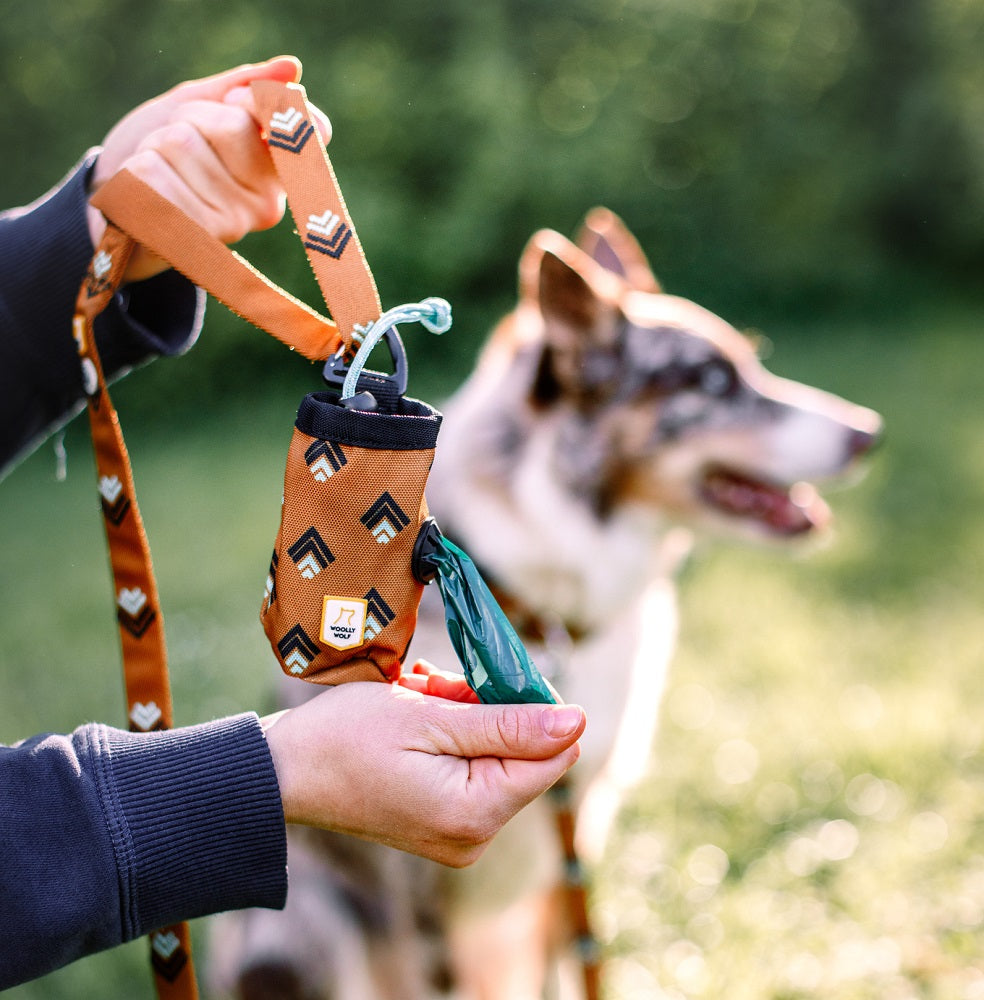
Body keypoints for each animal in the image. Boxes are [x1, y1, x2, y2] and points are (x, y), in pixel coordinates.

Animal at [209, 207, 884, 996]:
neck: (547, 606)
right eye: (712, 382)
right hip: (298, 934)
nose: (868, 433)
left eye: (748, 367)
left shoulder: (576, 833)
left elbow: (566, 965)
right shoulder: (414, 887)